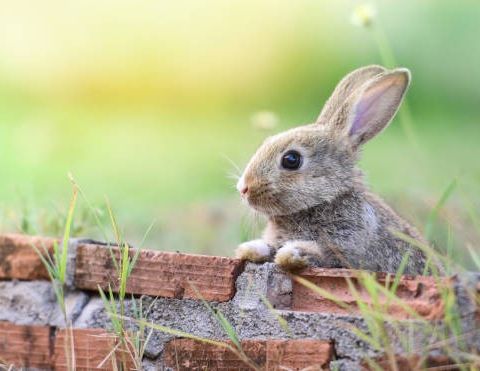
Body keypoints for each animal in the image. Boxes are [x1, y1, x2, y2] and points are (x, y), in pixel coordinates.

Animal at [235, 64, 428, 276]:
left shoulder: (346, 248)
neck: (325, 201)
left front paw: (292, 253)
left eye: (291, 159)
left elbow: (321, 254)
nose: (243, 188)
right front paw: (250, 249)